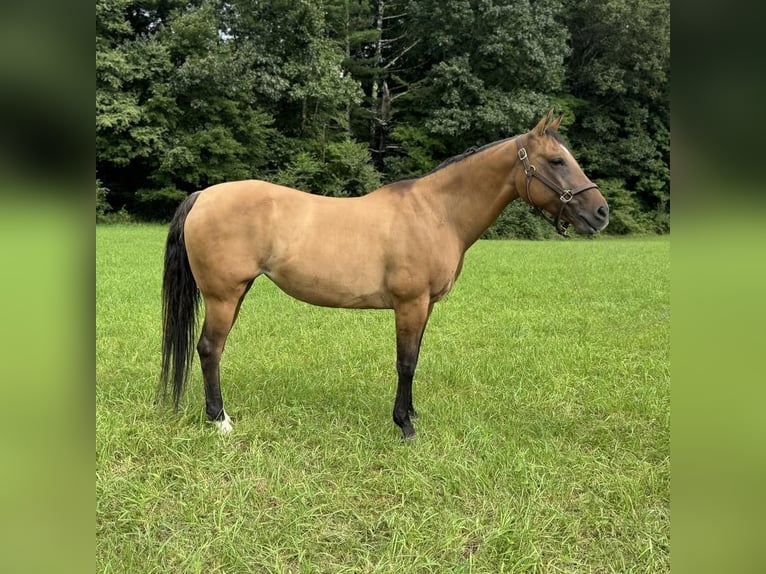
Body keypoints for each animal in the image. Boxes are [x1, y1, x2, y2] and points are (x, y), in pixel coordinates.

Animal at [160, 110, 612, 438]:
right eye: (556, 160)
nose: (601, 213)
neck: (436, 211)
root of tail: (203, 196)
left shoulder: (426, 306)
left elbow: (415, 358)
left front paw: (412, 413)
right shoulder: (410, 304)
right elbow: (405, 362)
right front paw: (404, 426)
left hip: (235, 294)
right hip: (223, 296)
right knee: (209, 349)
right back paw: (220, 421)